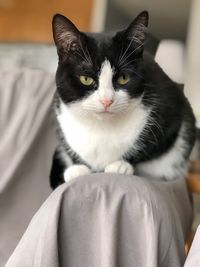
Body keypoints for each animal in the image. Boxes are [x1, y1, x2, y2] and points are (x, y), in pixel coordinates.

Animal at [49, 11, 195, 191]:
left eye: (123, 78)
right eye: (86, 79)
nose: (106, 100)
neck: (101, 128)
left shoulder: (171, 112)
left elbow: (153, 145)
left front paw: (120, 165)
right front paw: (78, 169)